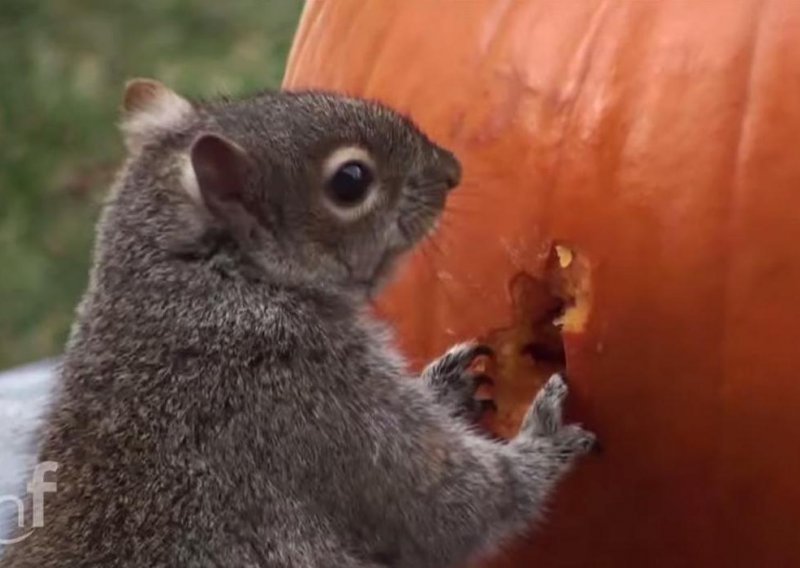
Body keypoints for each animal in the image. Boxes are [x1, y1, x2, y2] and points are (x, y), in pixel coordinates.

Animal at [0, 81, 596, 568]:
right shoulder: (310, 398)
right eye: (351, 180)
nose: (451, 169)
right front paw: (544, 441)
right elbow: (451, 505)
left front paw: (447, 386)